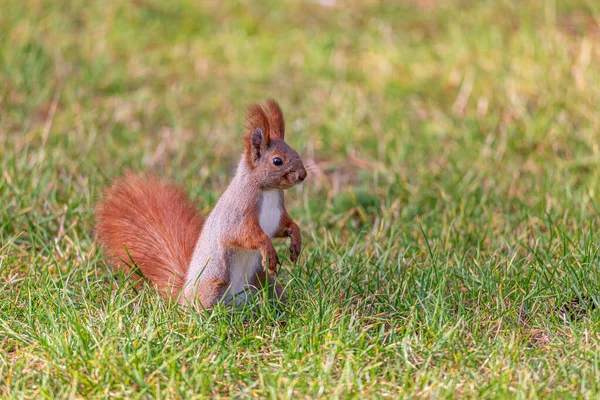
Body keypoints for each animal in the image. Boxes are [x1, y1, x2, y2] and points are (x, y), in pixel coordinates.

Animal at [95, 100, 308, 306]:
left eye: (296, 152)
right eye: (277, 161)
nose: (303, 175)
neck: (268, 191)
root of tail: (183, 297)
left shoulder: (278, 213)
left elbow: (286, 225)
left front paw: (296, 240)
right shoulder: (238, 212)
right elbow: (244, 234)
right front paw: (268, 250)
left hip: (263, 283)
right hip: (213, 287)